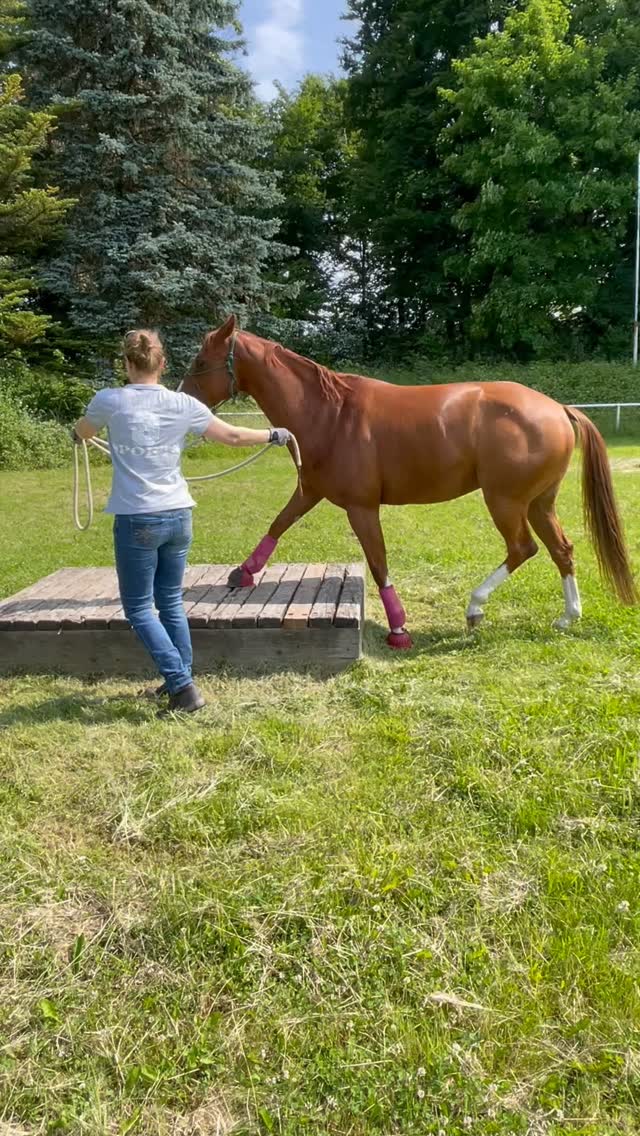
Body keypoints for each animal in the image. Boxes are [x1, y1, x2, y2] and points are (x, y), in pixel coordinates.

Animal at [182, 315, 637, 648]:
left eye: (200, 363)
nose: (183, 401)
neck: (330, 413)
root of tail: (558, 408)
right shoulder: (310, 491)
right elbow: (278, 523)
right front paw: (242, 573)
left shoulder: (361, 507)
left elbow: (379, 563)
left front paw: (399, 628)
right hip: (540, 502)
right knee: (562, 549)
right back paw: (567, 617)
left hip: (505, 501)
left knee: (522, 548)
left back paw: (475, 608)